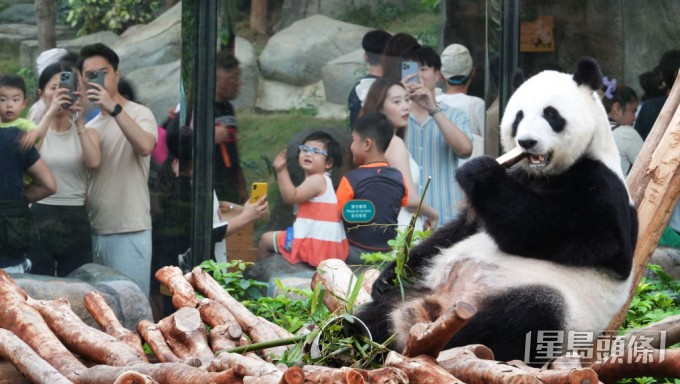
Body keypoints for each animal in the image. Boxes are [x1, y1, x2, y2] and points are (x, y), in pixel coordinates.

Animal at [358, 57, 640, 366]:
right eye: (518, 116)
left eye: (551, 114)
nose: (527, 142)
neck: (545, 174)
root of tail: (442, 303)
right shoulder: (515, 180)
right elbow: (455, 232)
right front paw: (388, 274)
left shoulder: (600, 193)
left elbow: (543, 231)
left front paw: (479, 171)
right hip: (418, 290)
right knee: (377, 314)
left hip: (560, 309)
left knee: (522, 316)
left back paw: (432, 337)